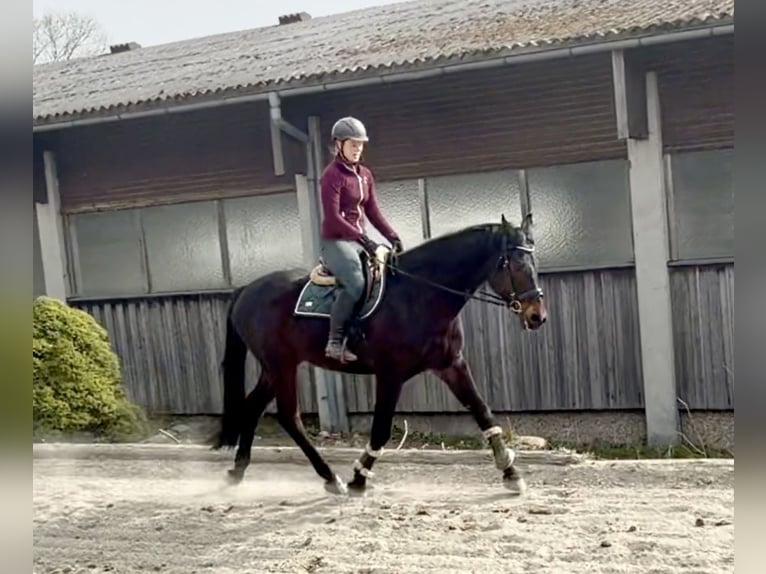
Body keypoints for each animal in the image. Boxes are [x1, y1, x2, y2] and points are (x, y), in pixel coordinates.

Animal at [212, 213, 547, 496]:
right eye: (515, 265)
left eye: (534, 262)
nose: (537, 317)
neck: (419, 294)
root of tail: (246, 290)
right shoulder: (391, 373)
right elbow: (381, 428)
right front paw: (358, 478)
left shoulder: (452, 364)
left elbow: (482, 412)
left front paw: (511, 472)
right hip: (281, 365)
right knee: (289, 417)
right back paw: (331, 478)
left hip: (275, 367)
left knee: (253, 407)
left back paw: (238, 471)